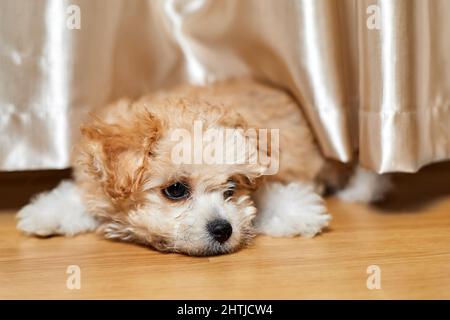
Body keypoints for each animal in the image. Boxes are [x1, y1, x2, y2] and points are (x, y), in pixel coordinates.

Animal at [15, 79, 384, 256]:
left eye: (231, 188)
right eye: (176, 190)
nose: (223, 229)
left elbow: (266, 200)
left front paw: (299, 211)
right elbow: (85, 195)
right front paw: (47, 211)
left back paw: (365, 188)